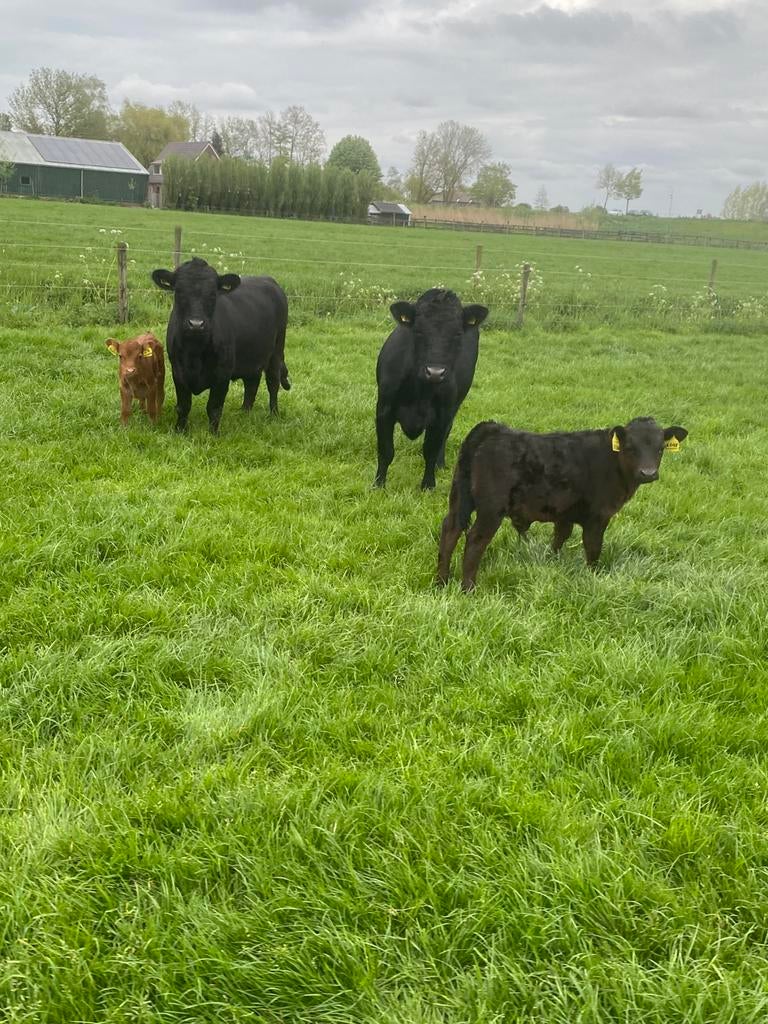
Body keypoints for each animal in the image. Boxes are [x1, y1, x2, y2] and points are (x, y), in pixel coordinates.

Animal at [151, 257, 290, 434]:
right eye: (179, 291)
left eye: (212, 294)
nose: (196, 324)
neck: (195, 351)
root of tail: (268, 280)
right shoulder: (178, 370)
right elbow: (183, 406)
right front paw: (179, 430)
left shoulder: (223, 373)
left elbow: (214, 408)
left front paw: (213, 434)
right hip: (253, 356)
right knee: (252, 383)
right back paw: (244, 412)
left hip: (277, 349)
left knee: (272, 382)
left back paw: (274, 414)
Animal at [374, 288, 488, 490]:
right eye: (418, 331)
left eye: (457, 334)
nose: (435, 372)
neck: (420, 390)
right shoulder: (384, 409)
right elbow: (386, 451)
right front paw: (379, 484)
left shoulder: (442, 415)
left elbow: (431, 450)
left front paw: (428, 486)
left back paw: (440, 465)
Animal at [437, 416, 688, 591]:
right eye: (630, 448)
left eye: (660, 448)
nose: (648, 473)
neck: (613, 463)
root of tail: (492, 428)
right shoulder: (597, 517)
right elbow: (593, 548)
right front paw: (593, 576)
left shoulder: (564, 514)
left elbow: (559, 538)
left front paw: (552, 562)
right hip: (491, 510)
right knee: (475, 540)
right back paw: (468, 588)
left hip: (459, 497)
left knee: (450, 529)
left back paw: (441, 581)